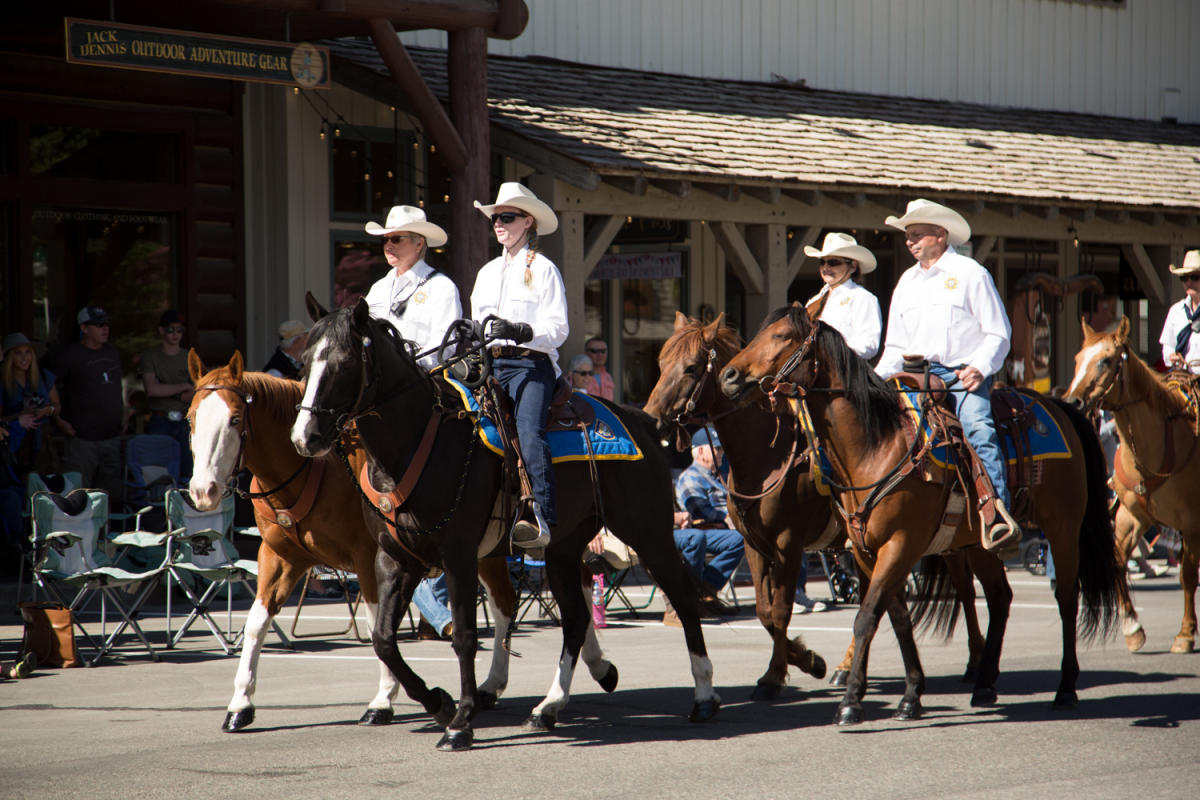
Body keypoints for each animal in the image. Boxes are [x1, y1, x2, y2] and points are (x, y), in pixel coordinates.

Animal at [183, 352, 516, 734]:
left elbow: (375, 627)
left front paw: (383, 700)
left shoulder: (369, 558)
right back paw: (491, 686)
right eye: (191, 418)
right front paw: (241, 703)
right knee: (504, 604)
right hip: (486, 551)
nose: (203, 491)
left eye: (235, 419)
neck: (315, 468)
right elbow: (256, 624)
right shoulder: (280, 557)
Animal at [290, 298, 720, 753]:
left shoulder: (457, 556)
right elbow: (384, 640)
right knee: (575, 618)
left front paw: (461, 721)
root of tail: (643, 421)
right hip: (562, 549)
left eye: (343, 363)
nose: (304, 437)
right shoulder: (395, 559)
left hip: (648, 532)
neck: (418, 442)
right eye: (304, 362)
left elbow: (463, 635)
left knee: (682, 599)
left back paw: (704, 696)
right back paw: (549, 706)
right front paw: (437, 702)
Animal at [643, 309, 988, 695]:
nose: (650, 417)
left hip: (948, 541)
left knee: (964, 590)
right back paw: (846, 668)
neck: (768, 454)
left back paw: (977, 663)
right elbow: (764, 611)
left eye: (690, 367)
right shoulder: (754, 545)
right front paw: (806, 660)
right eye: (660, 363)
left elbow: (780, 610)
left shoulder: (789, 544)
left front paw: (778, 674)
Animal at [720, 304, 1123, 724]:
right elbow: (894, 615)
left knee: (1066, 596)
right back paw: (984, 683)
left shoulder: (895, 544)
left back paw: (1065, 687)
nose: (728, 376)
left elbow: (865, 614)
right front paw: (910, 694)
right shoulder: (864, 550)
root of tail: (1058, 406)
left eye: (782, 336)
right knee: (998, 597)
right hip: (977, 544)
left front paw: (849, 701)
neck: (876, 446)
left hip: (1063, 528)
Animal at [1070, 316, 1200, 652]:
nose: (1072, 401)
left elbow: (1187, 576)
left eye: (1105, 360)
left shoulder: (1191, 522)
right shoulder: (1131, 516)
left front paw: (1185, 634)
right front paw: (1132, 627)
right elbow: (1116, 562)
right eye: (1077, 359)